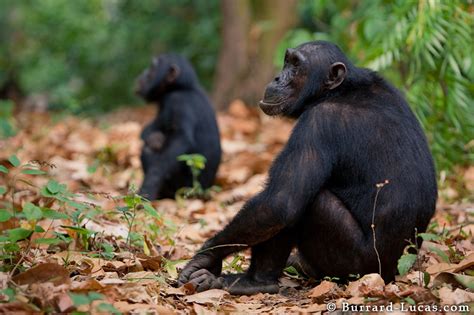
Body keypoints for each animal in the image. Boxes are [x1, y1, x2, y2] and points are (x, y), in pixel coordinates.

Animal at [134, 54, 221, 200]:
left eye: (152, 68)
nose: (143, 73)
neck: (179, 88)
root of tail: (203, 193)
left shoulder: (177, 101)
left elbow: (180, 140)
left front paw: (148, 188)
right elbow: (149, 128)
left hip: (183, 188)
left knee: (149, 149)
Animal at [178, 40, 436, 296]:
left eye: (296, 65)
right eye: (287, 61)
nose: (277, 78)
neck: (340, 90)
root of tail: (393, 275)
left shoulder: (317, 123)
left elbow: (280, 201)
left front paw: (204, 258)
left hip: (358, 267)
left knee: (307, 203)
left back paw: (255, 282)